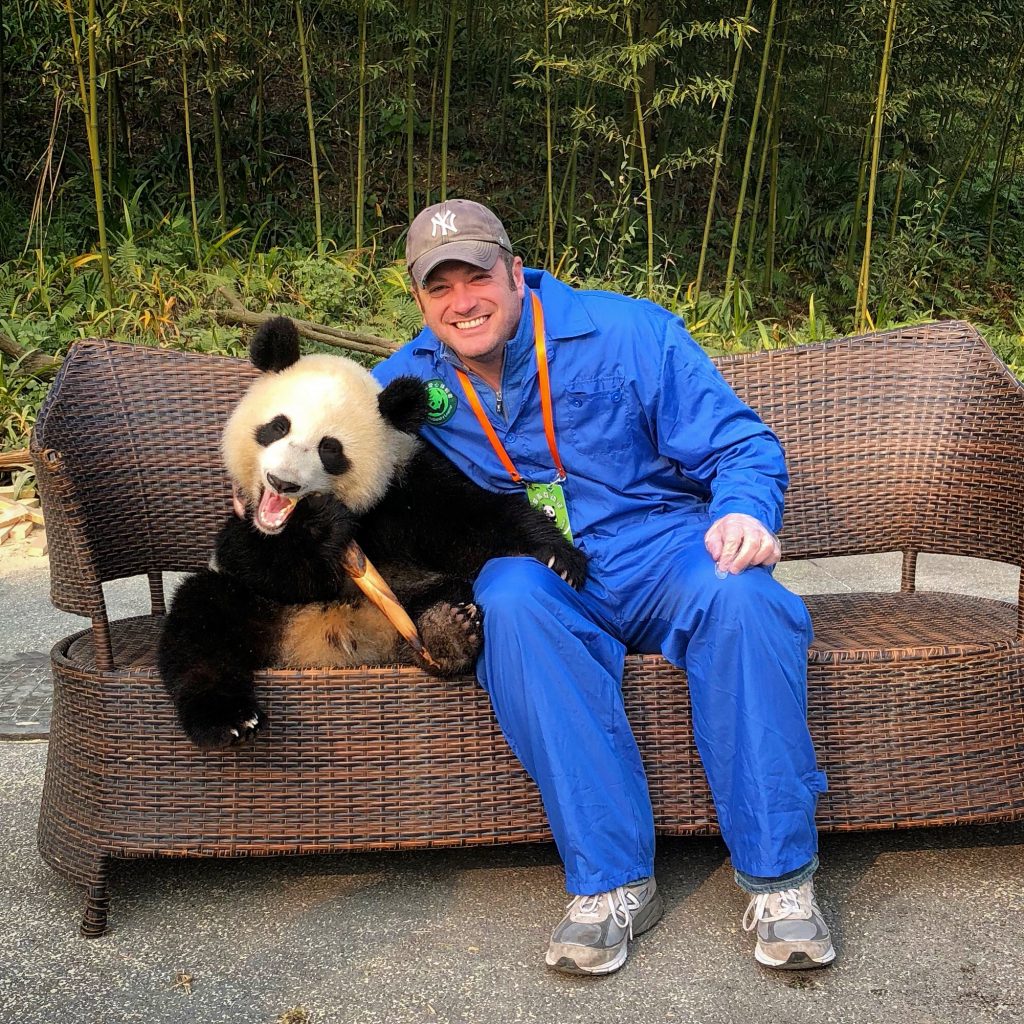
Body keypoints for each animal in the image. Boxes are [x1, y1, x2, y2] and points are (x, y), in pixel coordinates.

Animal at [159, 315, 593, 749]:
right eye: (277, 427)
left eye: (330, 449)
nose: (283, 483)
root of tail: (318, 646)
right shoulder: (247, 529)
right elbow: (261, 563)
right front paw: (319, 529)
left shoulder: (408, 489)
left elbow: (475, 523)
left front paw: (557, 556)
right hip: (259, 608)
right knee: (201, 621)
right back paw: (229, 719)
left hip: (414, 594)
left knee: (450, 592)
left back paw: (446, 633)